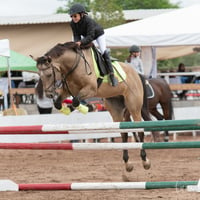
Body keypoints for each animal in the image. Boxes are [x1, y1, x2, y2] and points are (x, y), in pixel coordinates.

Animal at [34, 41, 159, 177]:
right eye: (39, 75)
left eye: (49, 74)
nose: (49, 95)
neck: (72, 66)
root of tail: (136, 74)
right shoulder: (67, 90)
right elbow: (59, 103)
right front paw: (68, 109)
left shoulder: (91, 89)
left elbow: (76, 100)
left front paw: (87, 107)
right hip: (116, 107)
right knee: (124, 133)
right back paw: (128, 164)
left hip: (134, 106)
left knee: (139, 130)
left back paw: (145, 161)